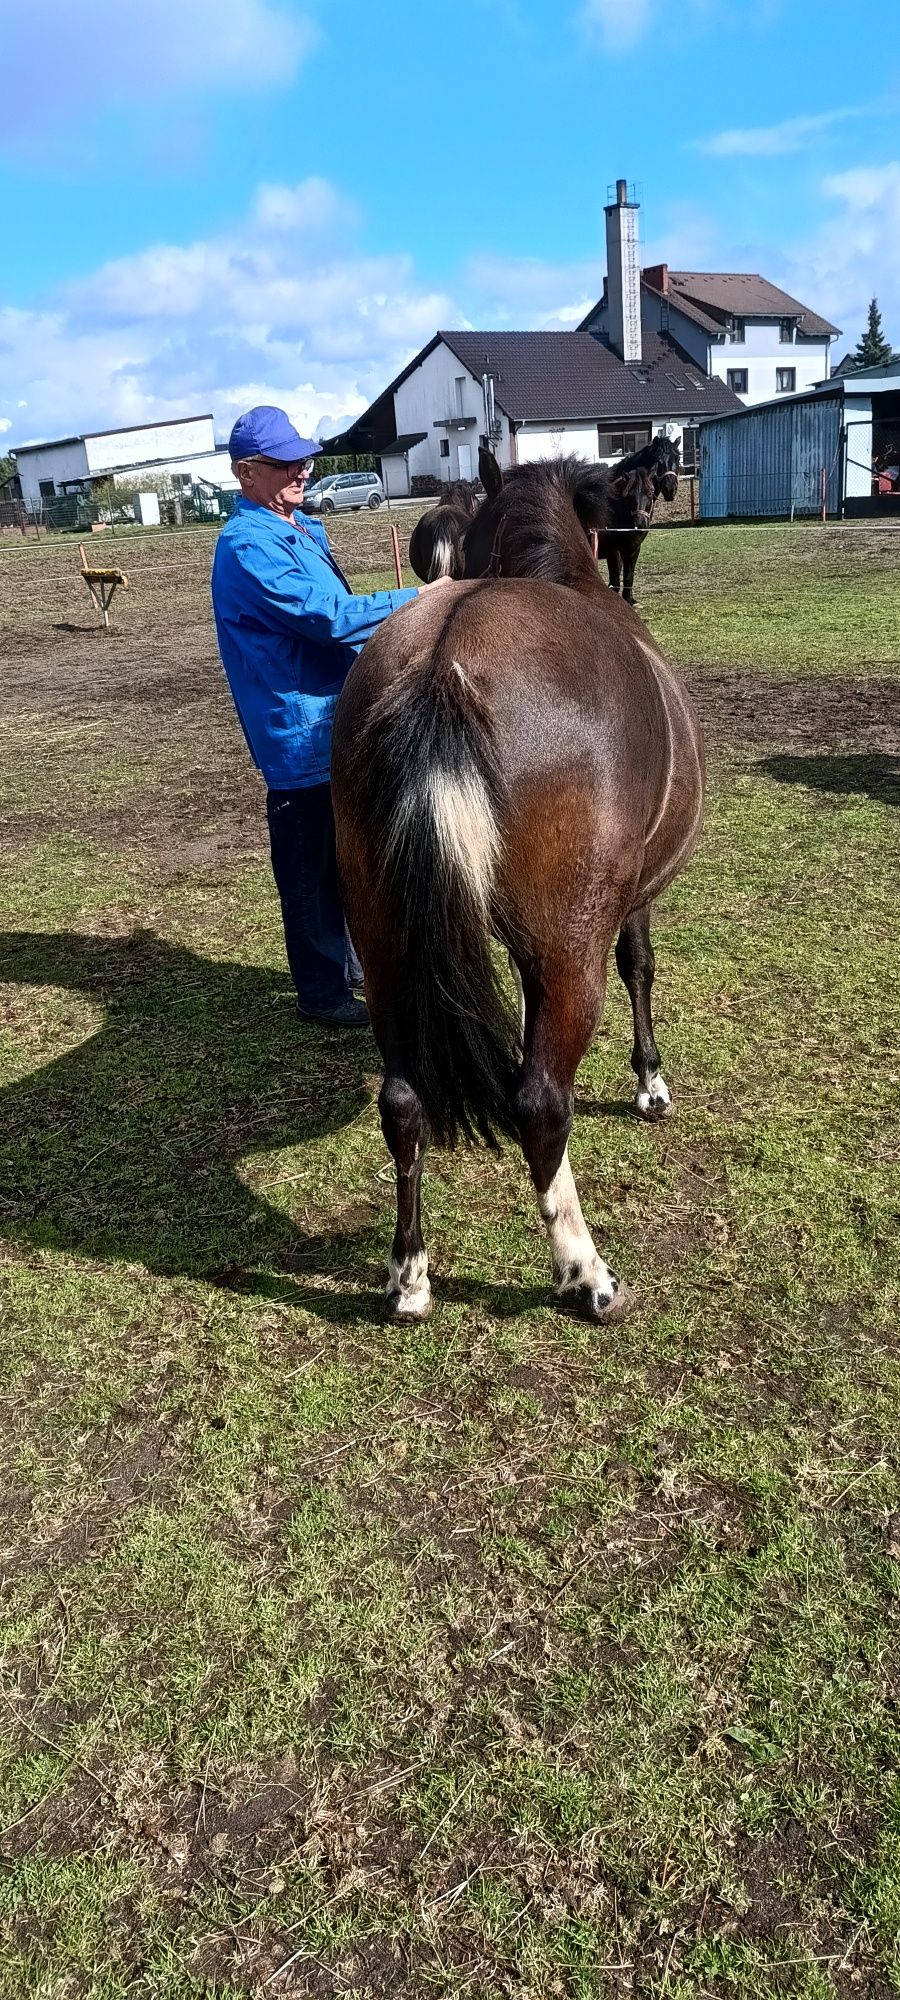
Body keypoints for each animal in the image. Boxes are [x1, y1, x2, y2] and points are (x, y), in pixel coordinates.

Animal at [596, 442, 680, 612]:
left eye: (677, 457)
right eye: (658, 460)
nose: (670, 489)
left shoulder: (633, 548)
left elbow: (628, 577)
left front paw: (630, 600)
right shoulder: (613, 551)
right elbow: (615, 582)